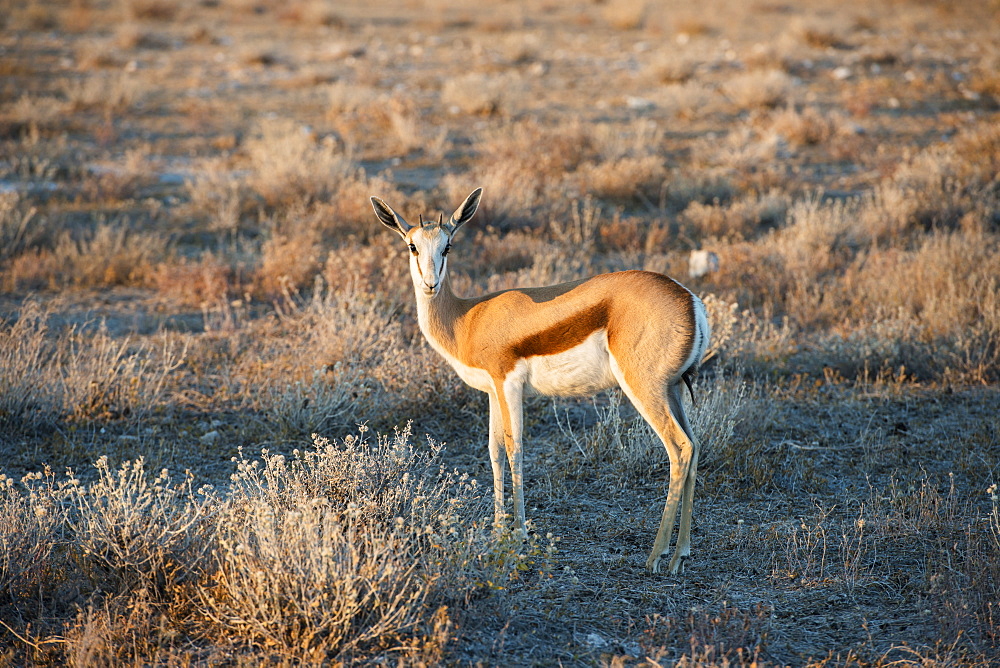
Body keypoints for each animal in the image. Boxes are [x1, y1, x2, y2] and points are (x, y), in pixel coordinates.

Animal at [370, 188, 712, 576]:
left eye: (448, 247)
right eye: (412, 246)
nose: (431, 284)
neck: (466, 319)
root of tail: (690, 301)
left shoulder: (508, 384)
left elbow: (515, 449)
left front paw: (518, 536)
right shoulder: (492, 391)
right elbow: (494, 451)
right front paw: (497, 531)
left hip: (644, 388)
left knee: (679, 448)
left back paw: (657, 556)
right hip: (672, 390)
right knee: (695, 445)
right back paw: (681, 553)